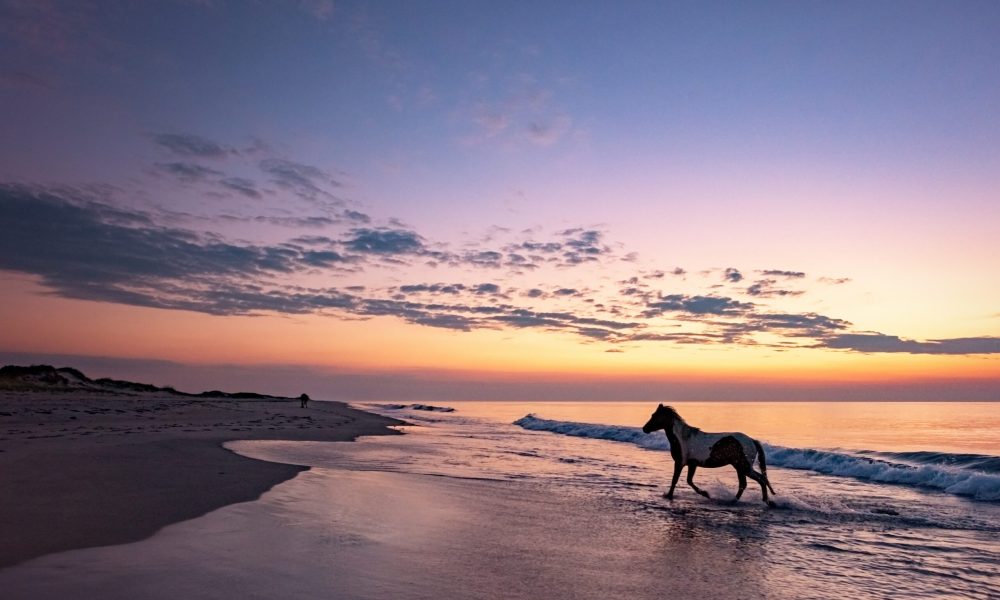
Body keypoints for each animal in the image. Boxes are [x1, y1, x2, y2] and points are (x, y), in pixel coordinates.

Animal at [642, 404, 776, 506]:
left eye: (655, 416)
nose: (644, 429)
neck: (683, 439)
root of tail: (752, 440)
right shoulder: (692, 464)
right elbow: (689, 481)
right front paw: (706, 494)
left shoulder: (680, 463)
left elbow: (675, 480)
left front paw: (669, 496)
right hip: (740, 467)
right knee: (748, 483)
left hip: (744, 467)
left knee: (758, 480)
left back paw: (762, 501)